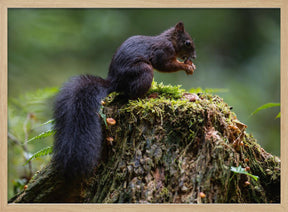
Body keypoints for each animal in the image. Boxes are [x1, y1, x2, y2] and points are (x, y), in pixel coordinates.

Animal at [52, 22, 196, 179]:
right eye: (187, 43)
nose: (194, 57)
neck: (170, 41)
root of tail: (114, 82)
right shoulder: (162, 51)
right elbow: (164, 65)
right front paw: (186, 66)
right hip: (144, 71)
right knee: (132, 95)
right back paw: (150, 96)